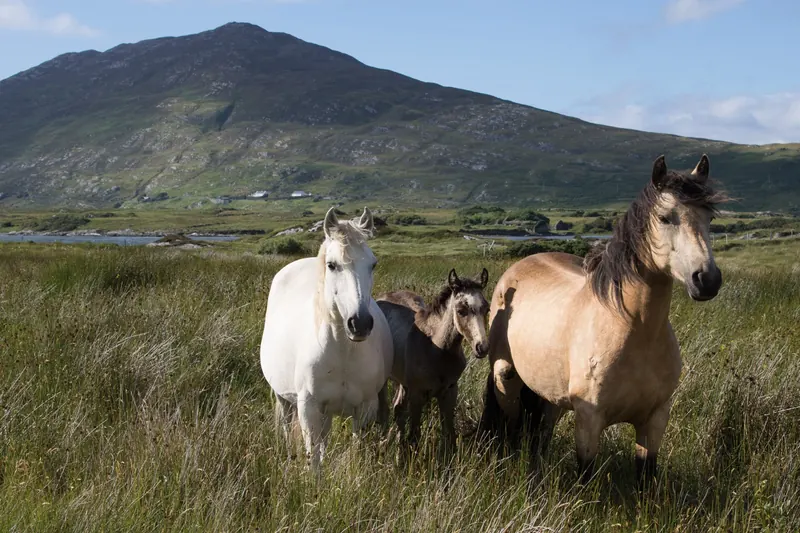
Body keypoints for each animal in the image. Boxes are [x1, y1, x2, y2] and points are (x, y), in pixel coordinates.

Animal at [259, 206, 394, 473]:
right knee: (287, 430)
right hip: (285, 400)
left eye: (373, 264)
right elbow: (314, 460)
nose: (359, 323)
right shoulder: (309, 409)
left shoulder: (365, 409)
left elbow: (355, 452)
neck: (343, 351)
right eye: (332, 265)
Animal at [377, 268, 490, 458]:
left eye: (487, 308)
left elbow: (449, 435)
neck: (437, 348)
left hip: (403, 382)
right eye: (461, 310)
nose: (482, 347)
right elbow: (415, 437)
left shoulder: (449, 392)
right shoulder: (417, 395)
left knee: (398, 408)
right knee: (384, 410)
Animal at [478, 154, 727, 485]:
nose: (707, 280)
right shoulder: (589, 420)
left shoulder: (655, 420)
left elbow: (645, 477)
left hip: (550, 397)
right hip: (506, 381)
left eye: (709, 219)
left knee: (541, 434)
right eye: (665, 217)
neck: (634, 331)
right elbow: (585, 476)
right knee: (511, 426)